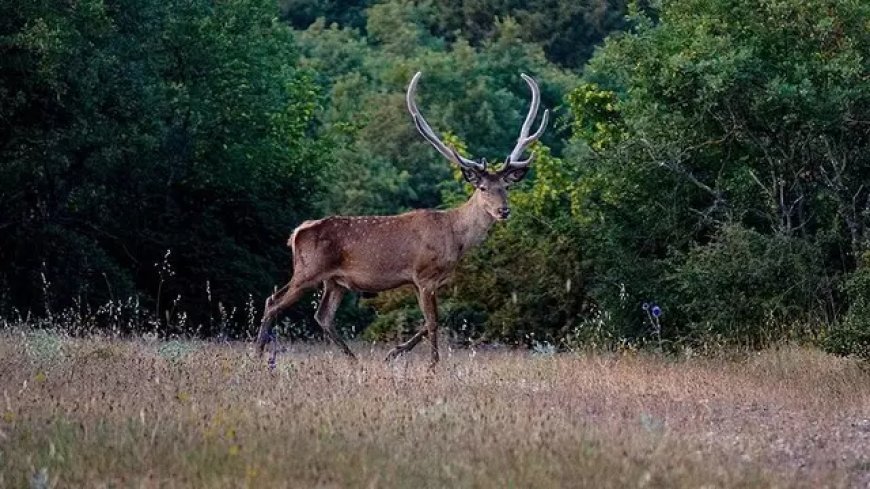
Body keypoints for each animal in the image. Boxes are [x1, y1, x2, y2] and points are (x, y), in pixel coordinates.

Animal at [255, 70, 548, 364]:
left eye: (506, 187)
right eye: (483, 188)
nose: (503, 210)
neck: (455, 237)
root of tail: (297, 233)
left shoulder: (427, 282)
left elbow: (430, 321)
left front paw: (393, 353)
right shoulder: (424, 275)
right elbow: (433, 322)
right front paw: (432, 364)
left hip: (334, 281)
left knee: (322, 315)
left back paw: (353, 360)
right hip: (308, 270)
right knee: (273, 302)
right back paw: (259, 354)